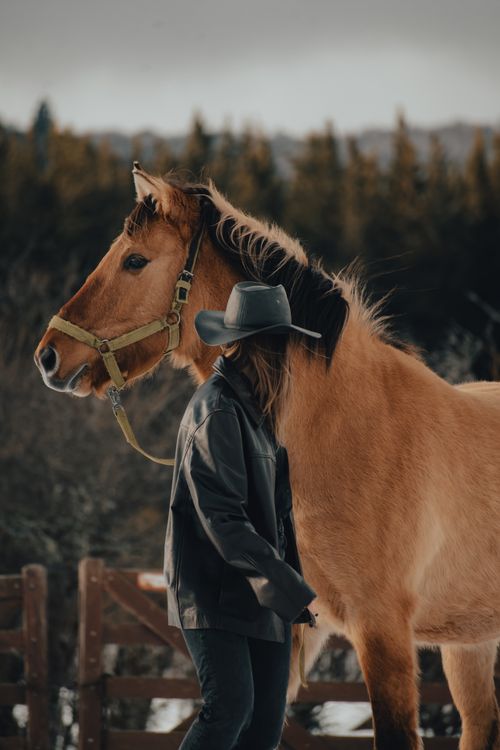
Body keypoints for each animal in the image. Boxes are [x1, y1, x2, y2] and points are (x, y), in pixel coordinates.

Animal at [35, 164, 500, 750]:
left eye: (134, 261)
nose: (49, 356)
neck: (348, 428)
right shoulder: (297, 630)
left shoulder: (383, 631)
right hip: (469, 644)